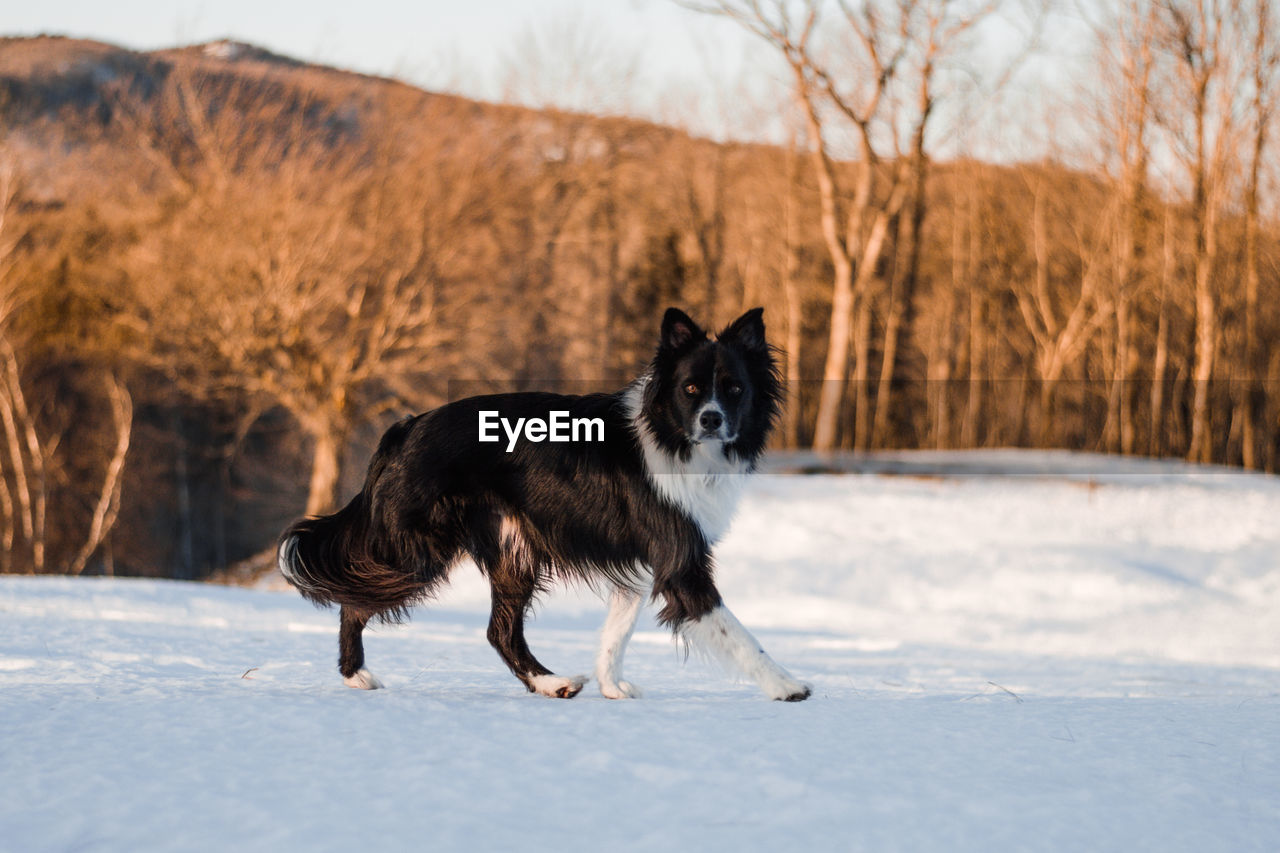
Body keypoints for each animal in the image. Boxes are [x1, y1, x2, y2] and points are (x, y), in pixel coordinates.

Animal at [280, 306, 808, 696]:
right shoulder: (681, 563)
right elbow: (736, 632)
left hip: (511, 550)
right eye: (691, 389)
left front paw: (611, 686)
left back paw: (551, 683)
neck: (673, 437)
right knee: (354, 601)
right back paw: (356, 676)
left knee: (500, 630)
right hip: (415, 554)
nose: (712, 420)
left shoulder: (642, 564)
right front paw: (788, 686)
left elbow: (616, 633)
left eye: (735, 389)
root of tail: (405, 427)